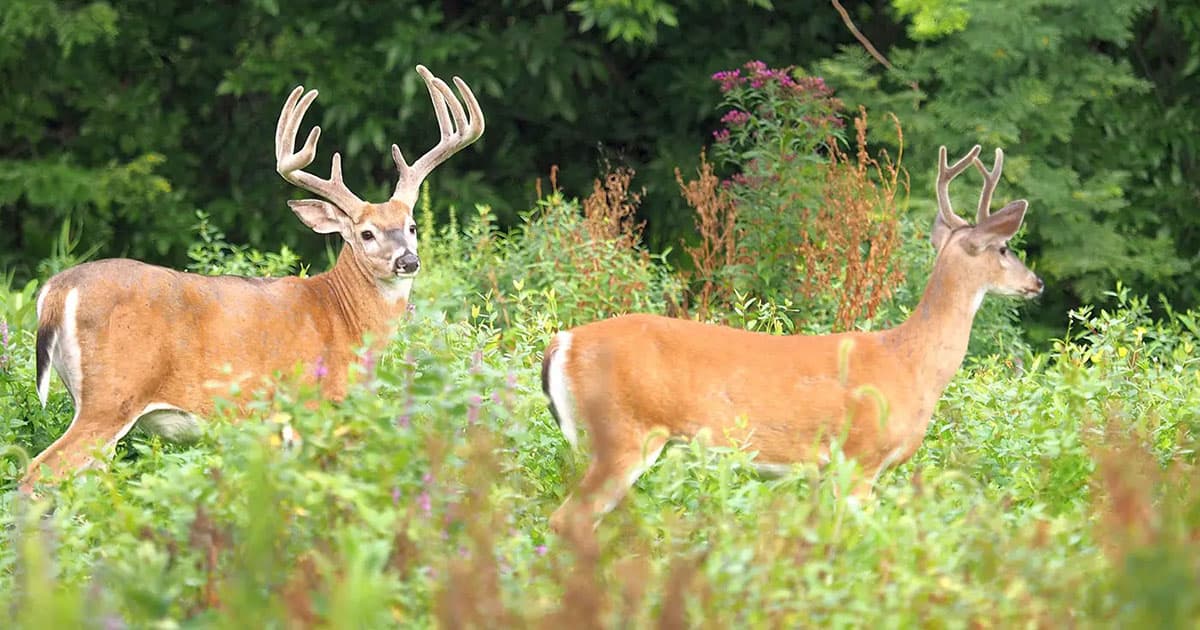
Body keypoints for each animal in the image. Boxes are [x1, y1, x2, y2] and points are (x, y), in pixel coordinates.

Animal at [24, 63, 482, 489]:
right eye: (366, 233)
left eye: (412, 226)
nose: (407, 261)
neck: (343, 317)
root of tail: (57, 290)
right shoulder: (312, 403)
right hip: (112, 395)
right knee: (37, 472)